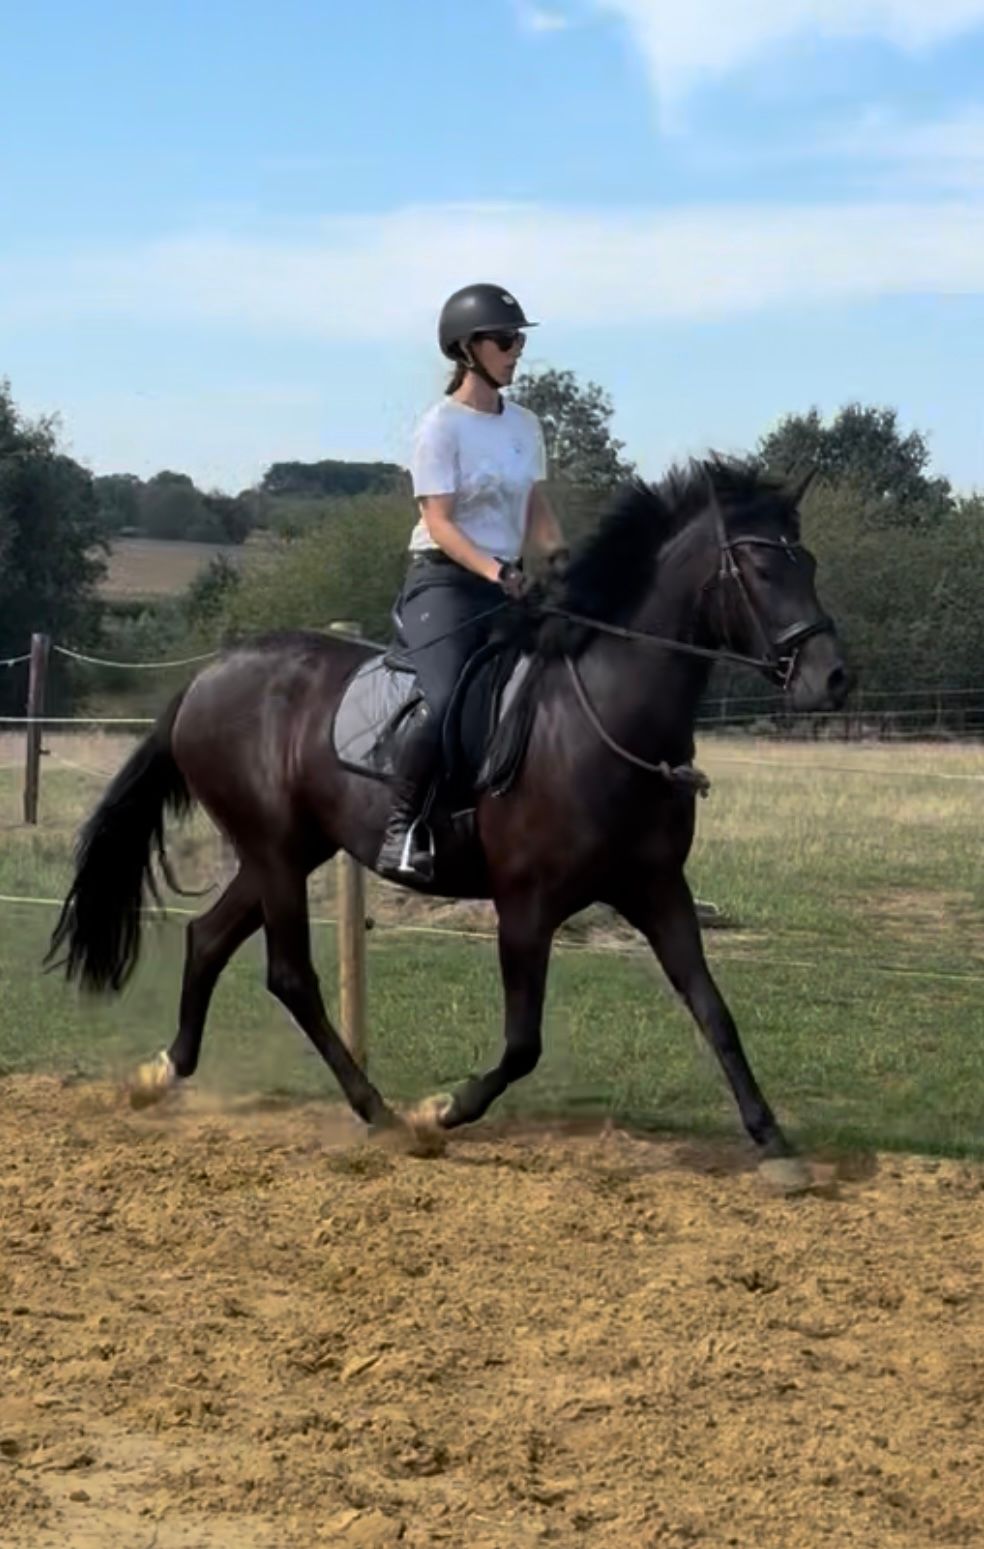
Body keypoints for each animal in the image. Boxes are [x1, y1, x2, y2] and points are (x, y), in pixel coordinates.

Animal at [49, 457, 849, 1187]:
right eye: (760, 567)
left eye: (808, 561)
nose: (833, 677)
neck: (602, 716)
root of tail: (209, 676)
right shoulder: (526, 904)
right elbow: (523, 1043)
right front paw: (441, 1112)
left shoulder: (658, 890)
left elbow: (713, 1009)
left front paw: (774, 1141)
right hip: (275, 853)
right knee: (289, 975)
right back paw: (378, 1111)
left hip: (287, 850)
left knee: (208, 939)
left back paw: (162, 1074)